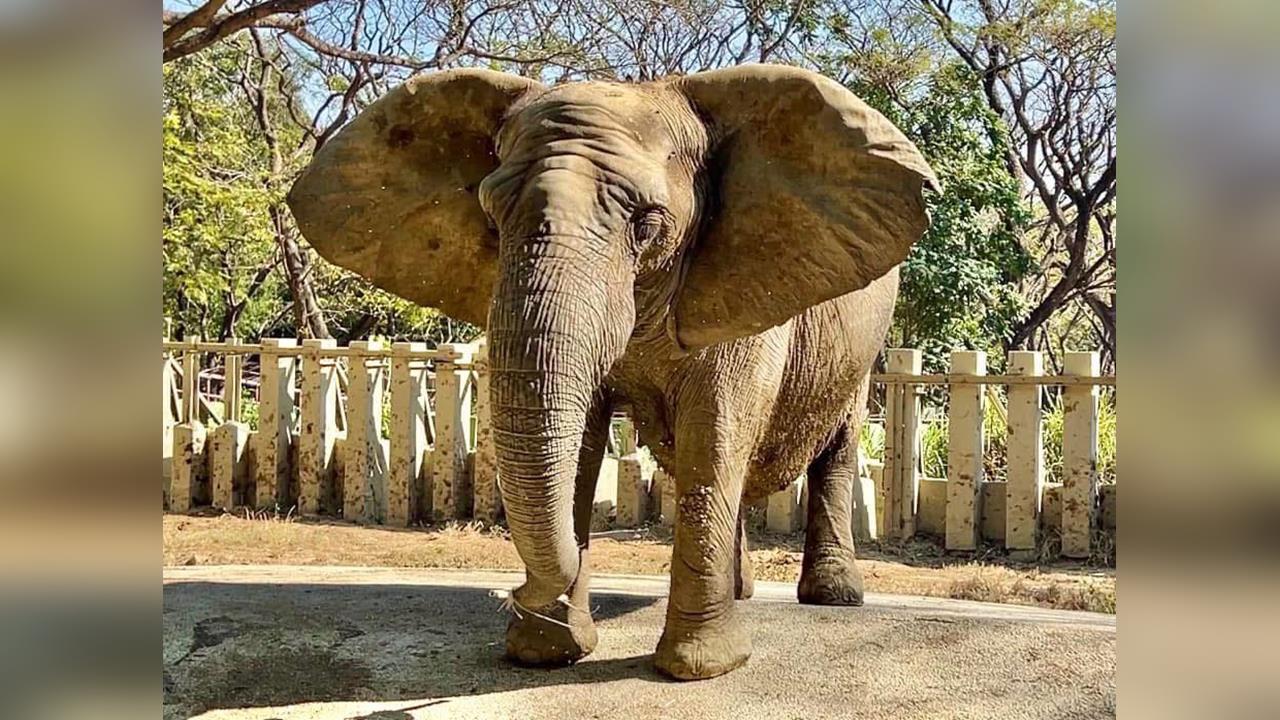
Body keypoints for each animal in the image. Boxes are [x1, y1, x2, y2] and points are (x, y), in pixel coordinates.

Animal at [287, 63, 937, 681]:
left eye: (647, 225)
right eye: (491, 220)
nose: (512, 592)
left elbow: (714, 432)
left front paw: (697, 669)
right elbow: (581, 446)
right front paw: (547, 651)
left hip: (865, 345)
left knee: (835, 448)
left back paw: (833, 597)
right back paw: (741, 592)